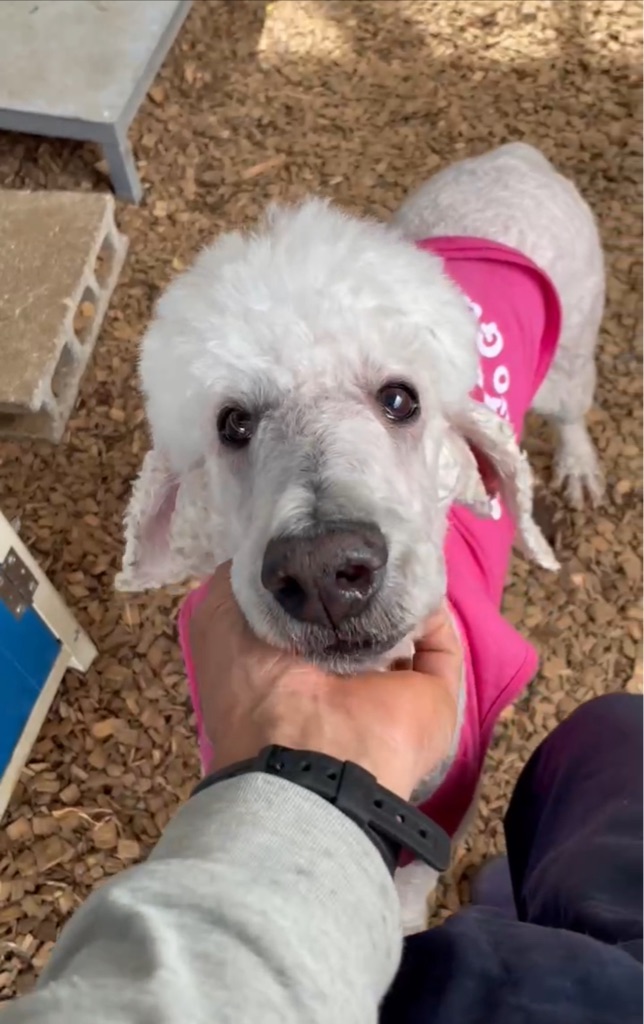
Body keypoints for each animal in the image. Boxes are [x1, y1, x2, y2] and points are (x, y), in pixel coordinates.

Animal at [117, 142, 604, 932]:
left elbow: (407, 903)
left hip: (572, 356)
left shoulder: (445, 816)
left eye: (401, 400)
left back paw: (582, 466)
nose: (320, 572)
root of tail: (517, 157)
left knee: (570, 413)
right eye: (232, 423)